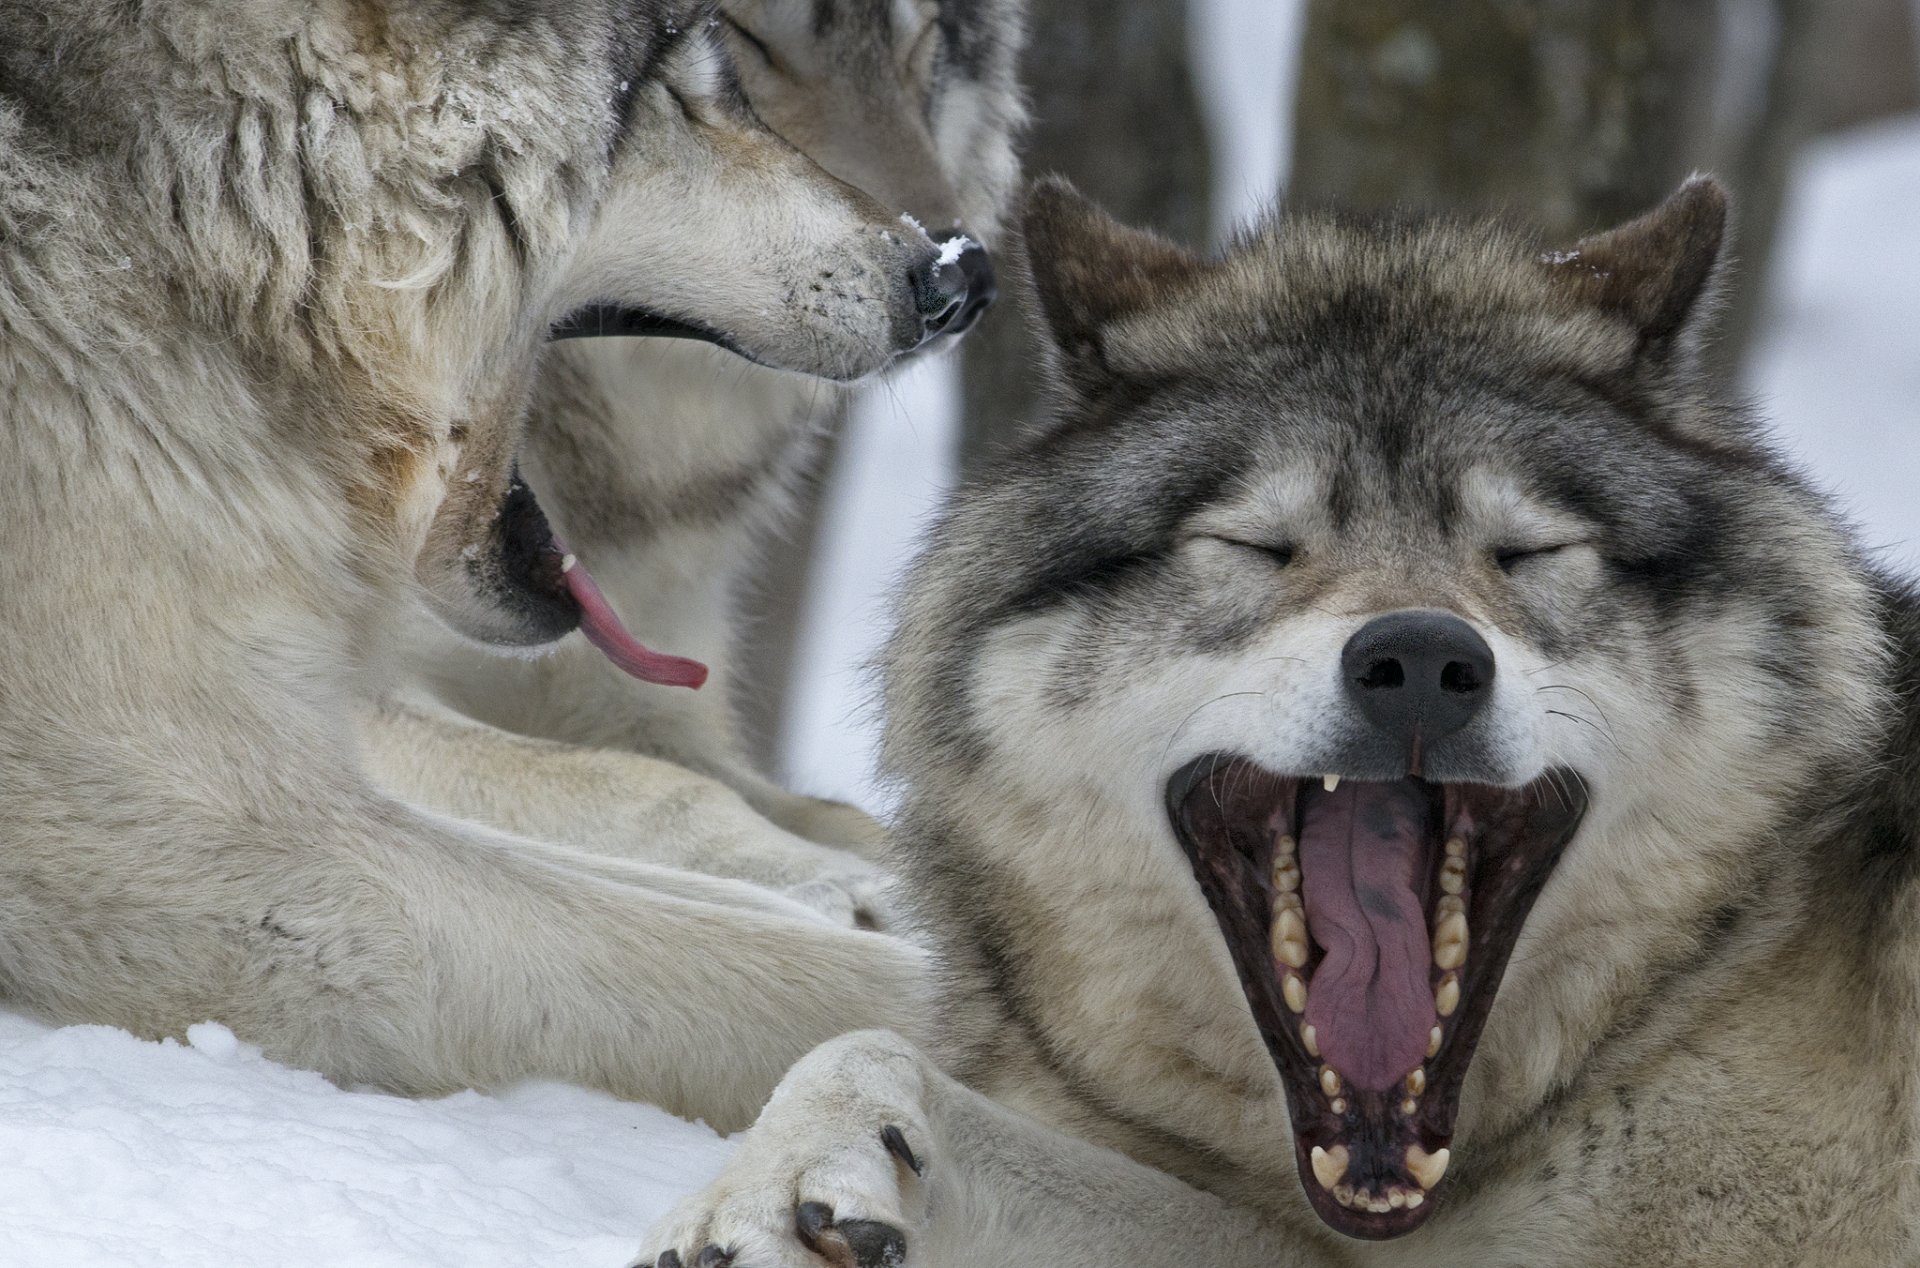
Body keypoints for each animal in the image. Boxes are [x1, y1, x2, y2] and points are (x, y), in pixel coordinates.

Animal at [368, 0, 1036, 929]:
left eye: (918, 39)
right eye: (736, 42)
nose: (959, 277)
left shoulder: (639, 699)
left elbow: (819, 807)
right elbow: (651, 788)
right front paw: (844, 890)